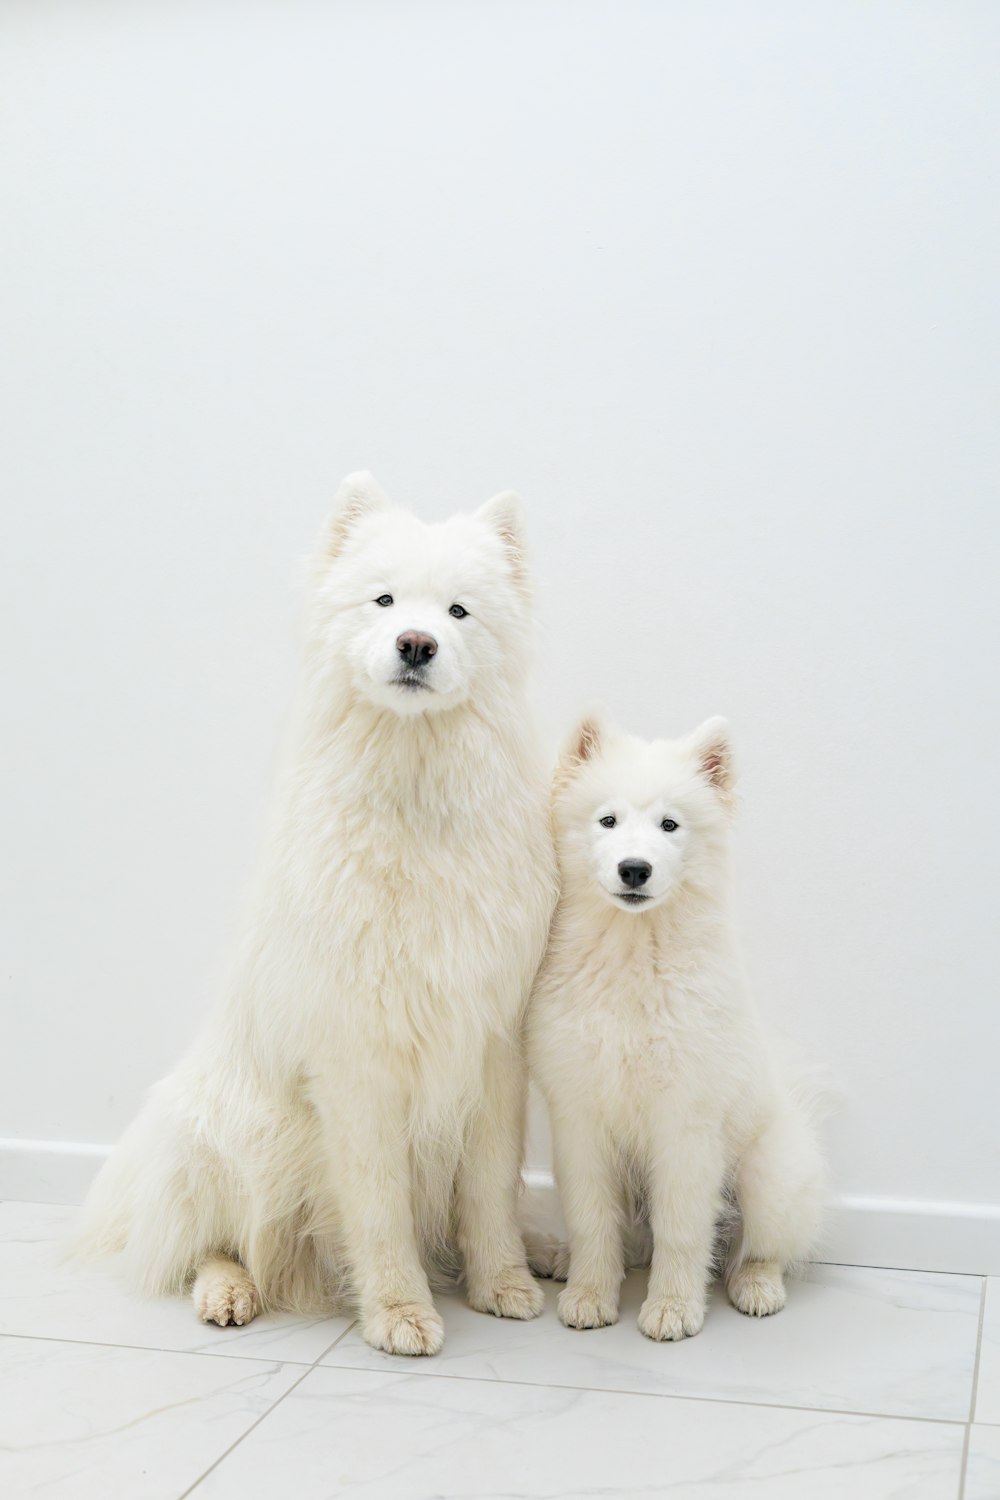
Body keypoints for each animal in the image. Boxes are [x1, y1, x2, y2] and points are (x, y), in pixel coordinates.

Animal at [76, 474, 563, 1356]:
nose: (416, 644)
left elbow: (489, 1190)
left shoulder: (491, 1044)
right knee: (209, 1242)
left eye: (459, 611)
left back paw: (545, 1248)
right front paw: (401, 1311)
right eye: (384, 600)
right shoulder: (357, 1058)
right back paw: (227, 1291)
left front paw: (503, 1281)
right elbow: (378, 1207)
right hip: (234, 1134)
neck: (415, 792)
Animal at [527, 708, 827, 1344]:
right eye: (608, 820)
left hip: (767, 1175)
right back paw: (563, 1261)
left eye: (670, 825)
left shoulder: (686, 1123)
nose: (634, 869)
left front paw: (671, 1308)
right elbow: (593, 1221)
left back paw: (756, 1287)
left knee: (758, 1248)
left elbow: (684, 1230)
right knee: (631, 1240)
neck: (632, 953)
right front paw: (590, 1296)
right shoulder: (580, 1118)